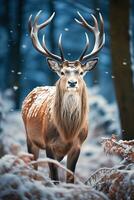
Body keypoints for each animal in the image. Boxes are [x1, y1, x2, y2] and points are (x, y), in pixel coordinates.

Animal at [21, 10, 104, 184]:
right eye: (62, 72)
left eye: (81, 72)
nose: (72, 83)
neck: (67, 132)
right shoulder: (48, 143)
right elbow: (55, 178)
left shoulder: (77, 145)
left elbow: (69, 178)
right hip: (30, 137)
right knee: (34, 167)